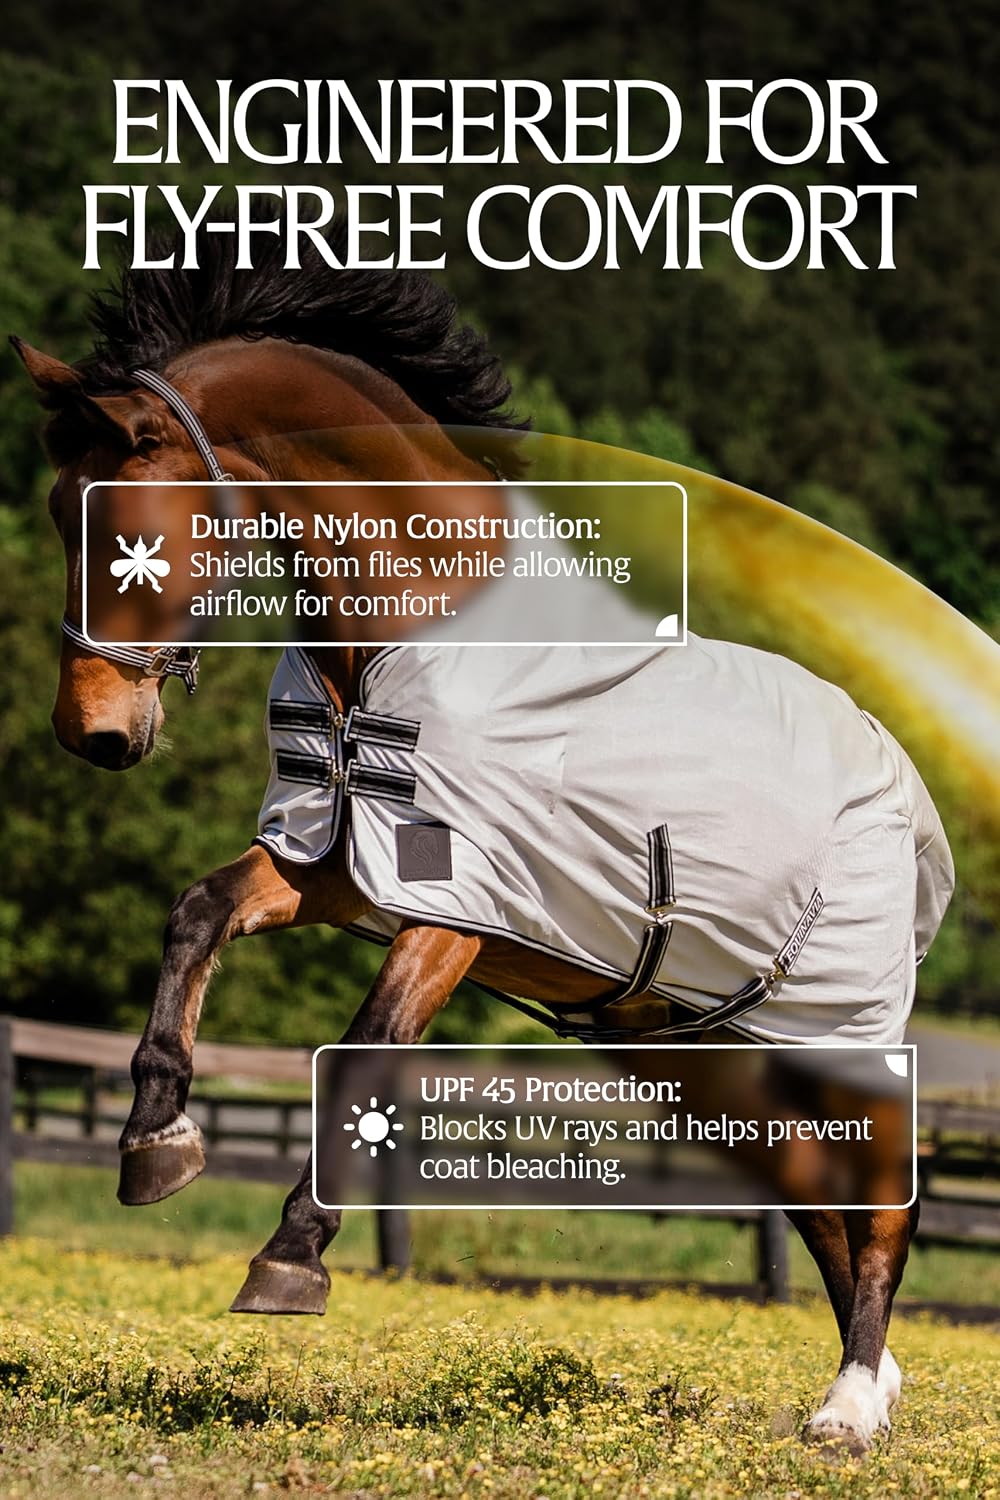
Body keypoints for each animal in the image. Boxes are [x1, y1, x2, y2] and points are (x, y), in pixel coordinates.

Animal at [12, 236, 953, 1457]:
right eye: (51, 511)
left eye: (125, 534)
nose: (94, 733)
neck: (414, 618)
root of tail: (902, 784)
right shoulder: (334, 864)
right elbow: (198, 914)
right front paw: (156, 1143)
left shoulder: (454, 909)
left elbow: (363, 1052)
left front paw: (289, 1260)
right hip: (702, 1056)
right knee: (815, 1196)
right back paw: (869, 1388)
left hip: (839, 1028)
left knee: (881, 1201)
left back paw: (847, 1410)